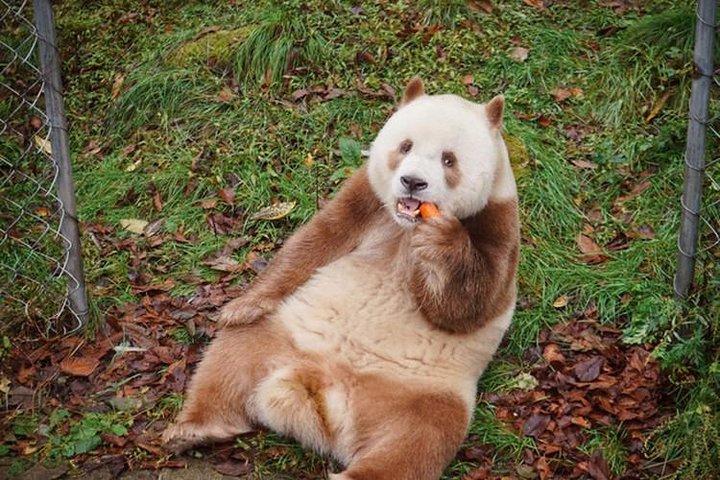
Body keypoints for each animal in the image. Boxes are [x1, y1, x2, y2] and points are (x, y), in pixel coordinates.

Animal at [163, 77, 520, 480]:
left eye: (449, 159)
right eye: (405, 145)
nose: (412, 182)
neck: (405, 226)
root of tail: (322, 397)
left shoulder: (498, 218)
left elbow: (468, 306)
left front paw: (440, 241)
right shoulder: (368, 196)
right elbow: (318, 239)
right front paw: (240, 306)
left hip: (422, 393)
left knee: (416, 443)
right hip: (285, 332)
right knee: (229, 359)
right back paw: (193, 428)